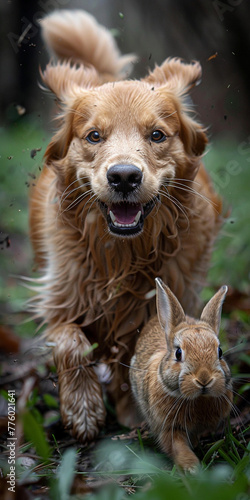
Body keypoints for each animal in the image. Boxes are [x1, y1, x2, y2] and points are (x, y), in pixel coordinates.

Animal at [28, 9, 222, 442]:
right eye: (94, 136)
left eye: (157, 135)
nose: (123, 177)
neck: (122, 253)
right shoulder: (60, 296)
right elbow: (70, 342)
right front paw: (83, 408)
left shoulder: (157, 305)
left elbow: (135, 355)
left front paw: (134, 411)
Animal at [130, 278, 233, 472]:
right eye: (178, 353)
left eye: (220, 352)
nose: (204, 379)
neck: (198, 399)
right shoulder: (168, 427)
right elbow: (177, 446)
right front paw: (192, 467)